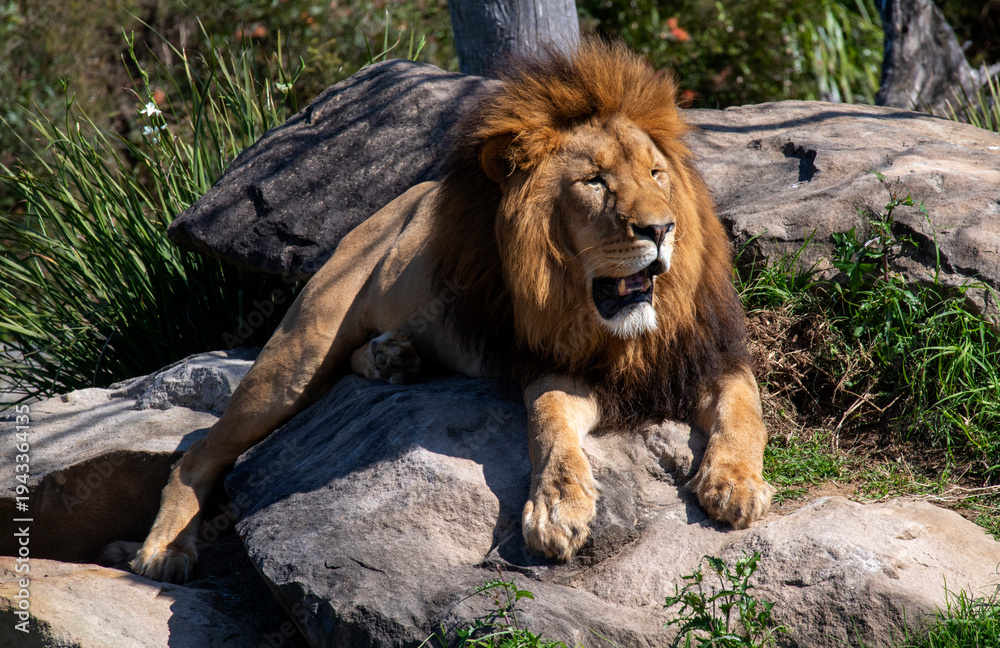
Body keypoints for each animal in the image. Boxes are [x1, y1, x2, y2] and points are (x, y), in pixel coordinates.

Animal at [107, 40, 774, 583]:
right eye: (594, 182)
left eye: (657, 173)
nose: (660, 229)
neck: (624, 334)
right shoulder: (556, 368)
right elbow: (551, 429)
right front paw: (558, 509)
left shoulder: (713, 356)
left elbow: (746, 412)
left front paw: (735, 485)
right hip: (298, 351)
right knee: (200, 451)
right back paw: (164, 550)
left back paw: (393, 359)